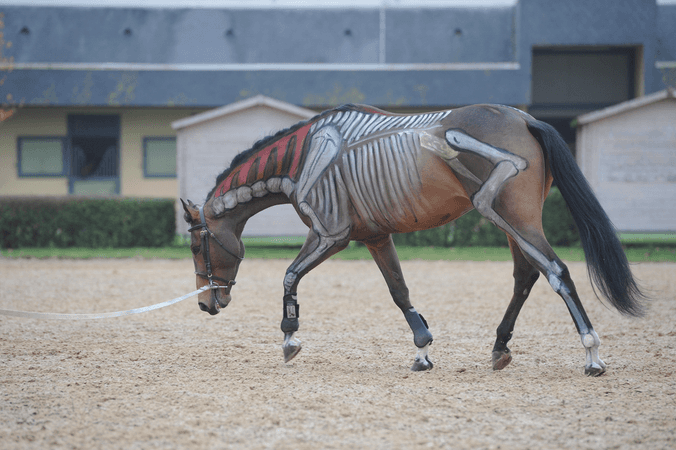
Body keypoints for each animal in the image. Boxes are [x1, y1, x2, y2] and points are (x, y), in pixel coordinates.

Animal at [181, 103, 646, 375]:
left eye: (195, 245)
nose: (206, 303)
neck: (308, 154)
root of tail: (524, 118)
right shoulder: (375, 237)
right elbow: (399, 291)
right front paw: (422, 349)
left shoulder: (330, 235)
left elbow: (290, 277)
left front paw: (290, 337)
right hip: (513, 223)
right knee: (525, 278)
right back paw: (499, 347)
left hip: (510, 216)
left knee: (556, 272)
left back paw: (592, 354)